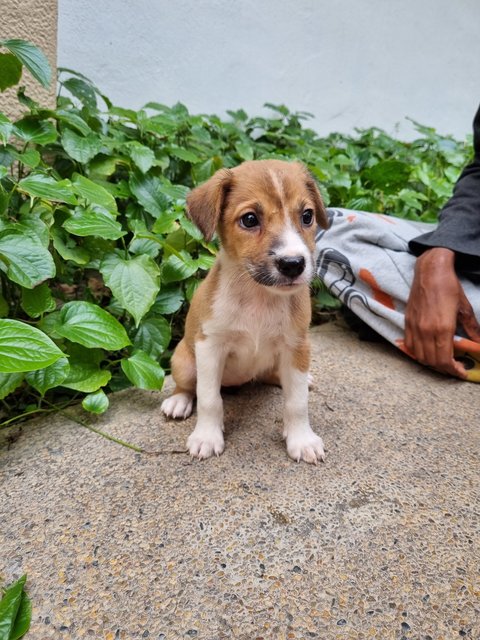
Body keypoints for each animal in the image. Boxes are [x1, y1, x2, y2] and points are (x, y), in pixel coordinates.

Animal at [160, 158, 326, 462]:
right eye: (249, 219)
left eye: (307, 216)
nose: (293, 264)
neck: (259, 297)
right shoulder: (210, 347)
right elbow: (209, 399)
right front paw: (207, 437)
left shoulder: (297, 346)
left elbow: (297, 402)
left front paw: (302, 439)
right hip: (185, 362)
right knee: (188, 386)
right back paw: (178, 401)